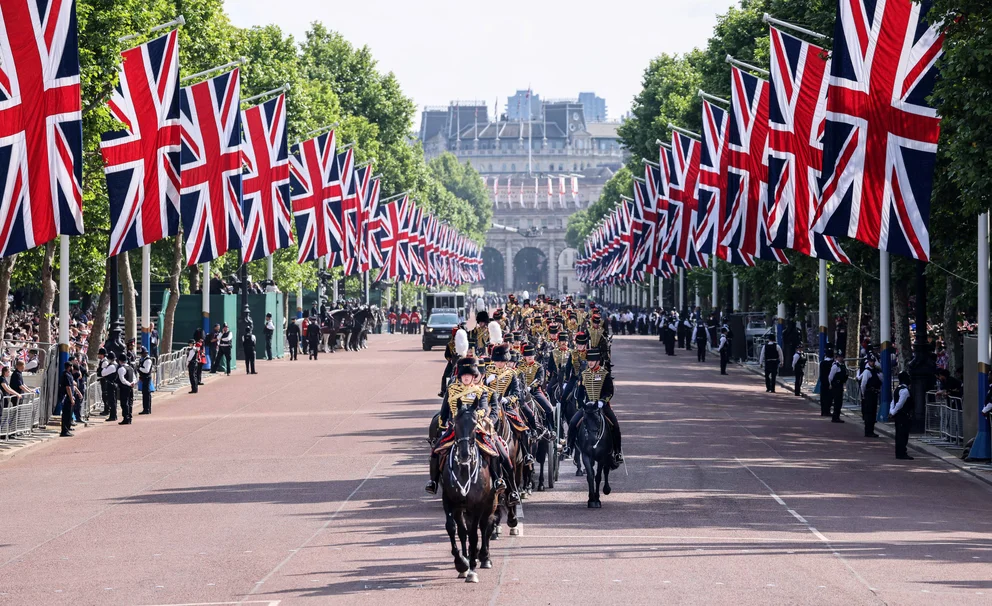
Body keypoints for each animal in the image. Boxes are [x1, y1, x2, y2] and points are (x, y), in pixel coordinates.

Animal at [442, 404, 500, 584]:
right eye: (455, 424)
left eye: (475, 425)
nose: (464, 454)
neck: (464, 470)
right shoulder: (450, 501)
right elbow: (453, 528)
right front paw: (461, 563)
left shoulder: (478, 506)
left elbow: (474, 534)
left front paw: (472, 569)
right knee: (464, 530)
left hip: (490, 503)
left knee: (486, 526)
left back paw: (484, 557)